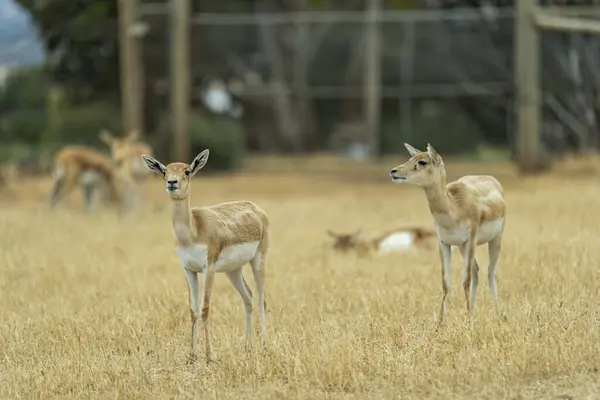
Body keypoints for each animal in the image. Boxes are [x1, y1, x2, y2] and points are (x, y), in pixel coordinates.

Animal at [141, 149, 270, 362]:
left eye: (187, 171)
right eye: (165, 171)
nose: (172, 183)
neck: (193, 230)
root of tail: (256, 208)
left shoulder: (207, 268)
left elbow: (205, 309)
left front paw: (210, 356)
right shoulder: (188, 269)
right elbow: (193, 310)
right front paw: (193, 355)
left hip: (259, 259)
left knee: (262, 298)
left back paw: (263, 345)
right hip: (233, 270)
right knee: (248, 297)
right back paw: (248, 346)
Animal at [390, 144, 506, 324]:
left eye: (422, 162)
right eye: (410, 158)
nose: (394, 171)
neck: (454, 206)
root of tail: (493, 181)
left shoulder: (471, 240)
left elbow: (465, 280)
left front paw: (467, 323)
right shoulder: (444, 242)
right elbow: (446, 282)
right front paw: (440, 324)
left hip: (494, 240)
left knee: (490, 273)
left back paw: (498, 316)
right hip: (462, 248)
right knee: (477, 272)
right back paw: (473, 314)